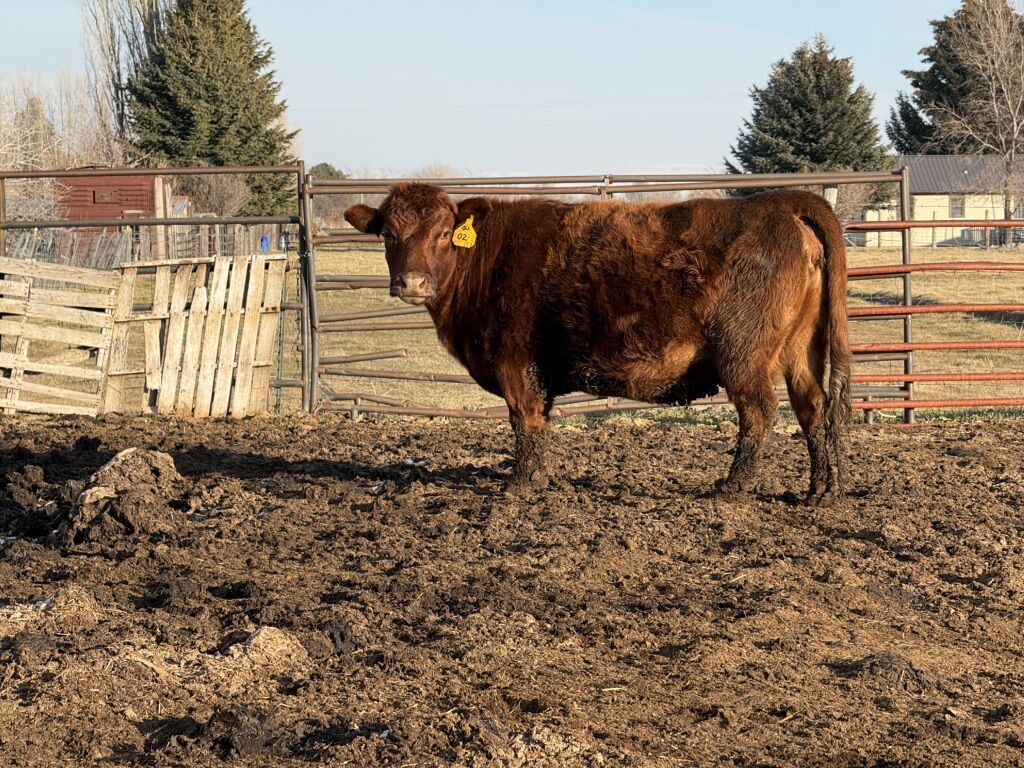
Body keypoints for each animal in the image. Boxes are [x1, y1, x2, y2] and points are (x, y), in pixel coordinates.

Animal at [344, 184, 851, 505]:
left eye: (443, 233)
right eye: (388, 235)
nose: (411, 282)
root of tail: (780, 202)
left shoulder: (515, 363)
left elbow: (524, 421)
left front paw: (521, 485)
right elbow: (539, 423)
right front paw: (541, 478)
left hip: (743, 354)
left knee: (759, 412)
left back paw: (733, 488)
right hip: (800, 349)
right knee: (812, 406)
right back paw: (818, 491)